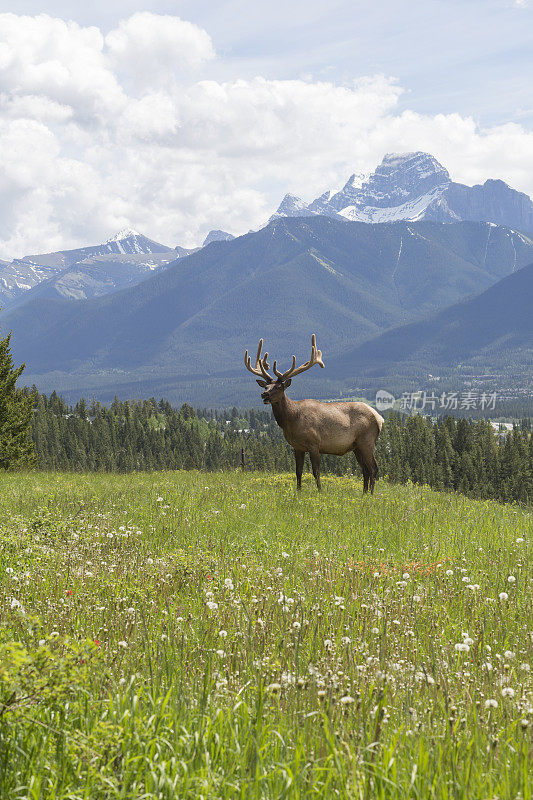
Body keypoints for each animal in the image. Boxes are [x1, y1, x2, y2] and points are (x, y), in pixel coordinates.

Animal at [245, 332, 382, 494]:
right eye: (266, 386)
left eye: (278, 387)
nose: (264, 394)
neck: (292, 420)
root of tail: (380, 419)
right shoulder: (297, 447)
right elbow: (298, 471)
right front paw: (298, 492)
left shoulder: (314, 443)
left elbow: (316, 471)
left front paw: (320, 491)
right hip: (356, 446)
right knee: (365, 469)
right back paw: (364, 493)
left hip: (367, 440)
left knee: (373, 468)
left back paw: (371, 494)